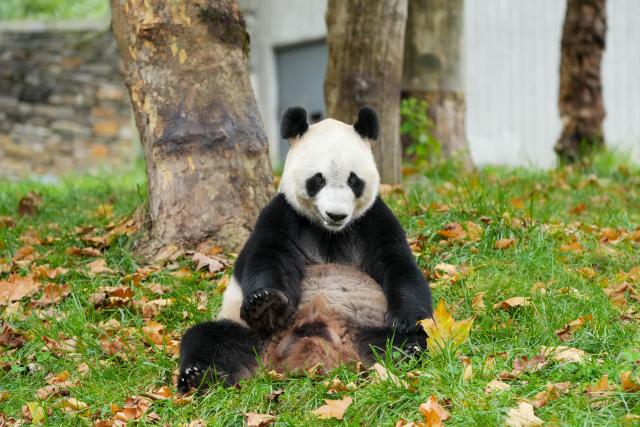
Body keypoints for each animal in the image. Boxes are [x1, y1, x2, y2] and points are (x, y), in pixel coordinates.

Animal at [178, 107, 433, 392]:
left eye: (353, 180)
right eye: (318, 180)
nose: (336, 214)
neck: (330, 232)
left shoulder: (374, 220)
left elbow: (399, 264)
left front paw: (405, 318)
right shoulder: (283, 215)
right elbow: (268, 256)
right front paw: (266, 305)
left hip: (366, 329)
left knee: (411, 340)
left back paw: (407, 348)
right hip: (252, 334)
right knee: (207, 337)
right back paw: (199, 376)